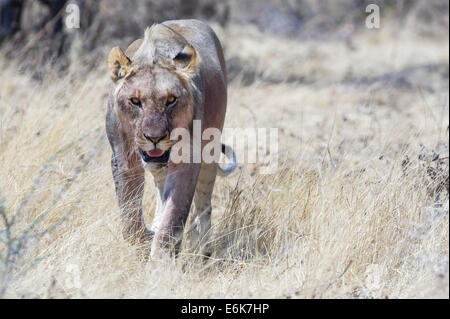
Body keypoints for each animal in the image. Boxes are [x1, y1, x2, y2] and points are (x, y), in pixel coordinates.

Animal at [105, 19, 236, 260]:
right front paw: (145, 240)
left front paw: (160, 262)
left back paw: (204, 251)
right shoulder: (123, 158)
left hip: (211, 151)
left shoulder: (187, 159)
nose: (154, 137)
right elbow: (129, 217)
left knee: (203, 205)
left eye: (171, 100)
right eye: (135, 101)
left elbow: (173, 217)